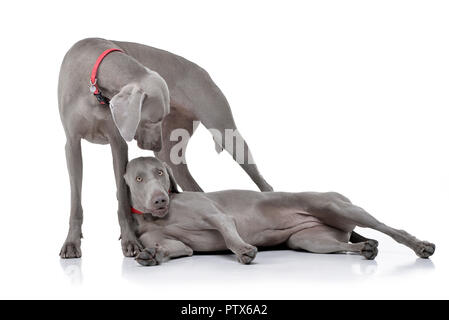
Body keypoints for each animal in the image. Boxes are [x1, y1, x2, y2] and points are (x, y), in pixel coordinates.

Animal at [57, 38, 272, 258]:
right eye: (154, 119)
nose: (156, 145)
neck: (94, 85)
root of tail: (202, 71)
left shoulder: (118, 142)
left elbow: (122, 197)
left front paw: (130, 241)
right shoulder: (72, 143)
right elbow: (75, 198)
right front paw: (71, 243)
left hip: (226, 133)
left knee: (260, 179)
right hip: (172, 152)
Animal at [123, 157, 434, 264]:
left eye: (160, 173)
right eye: (138, 179)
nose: (160, 200)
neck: (159, 218)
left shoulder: (216, 215)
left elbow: (229, 234)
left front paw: (244, 251)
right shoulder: (176, 244)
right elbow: (174, 248)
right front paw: (150, 255)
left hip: (334, 205)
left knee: (391, 229)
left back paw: (421, 246)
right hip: (308, 240)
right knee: (342, 245)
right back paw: (366, 248)